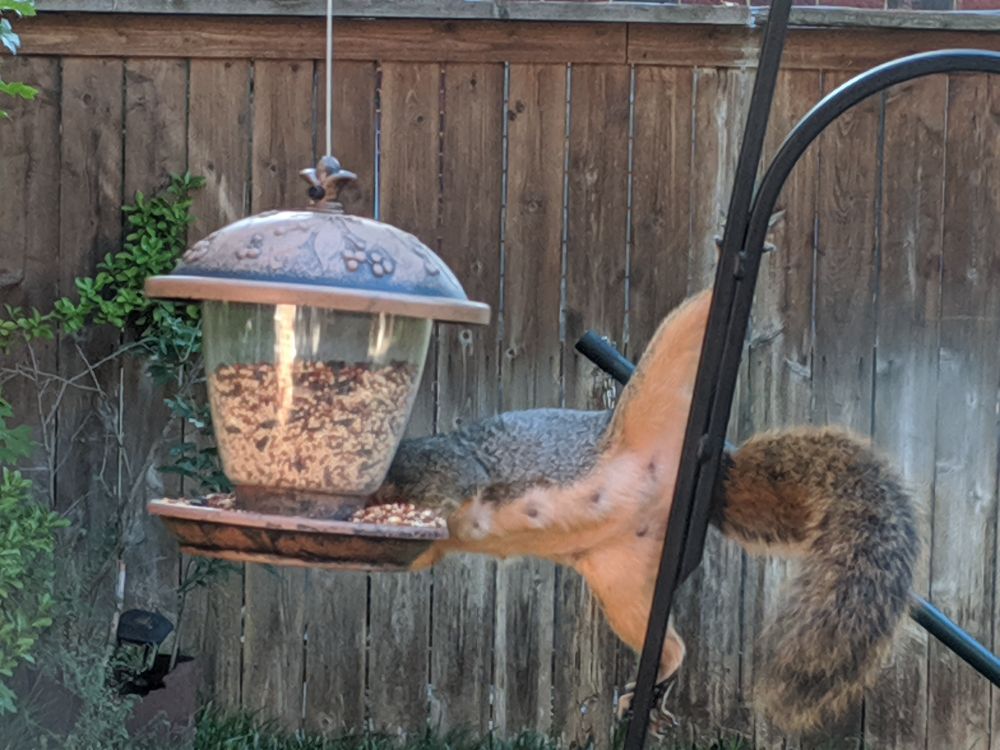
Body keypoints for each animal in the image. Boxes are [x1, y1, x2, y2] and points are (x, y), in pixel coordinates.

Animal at [373, 288, 919, 736]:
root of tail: (706, 475)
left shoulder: (442, 465)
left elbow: (450, 485)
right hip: (620, 580)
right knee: (673, 648)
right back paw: (651, 689)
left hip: (657, 393)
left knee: (693, 322)